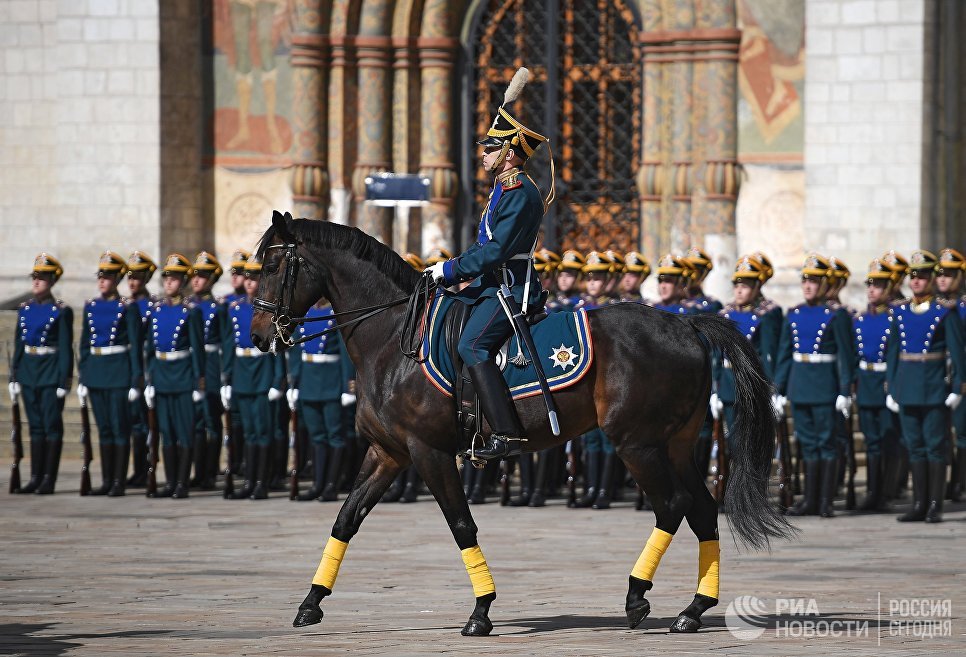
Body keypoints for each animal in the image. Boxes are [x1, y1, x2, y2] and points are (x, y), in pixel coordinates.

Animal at [253, 213, 796, 640]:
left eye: (273, 266)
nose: (260, 336)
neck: (393, 341)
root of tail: (685, 322)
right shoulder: (388, 453)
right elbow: (346, 519)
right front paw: (310, 603)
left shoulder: (429, 452)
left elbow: (460, 524)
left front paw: (481, 611)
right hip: (676, 445)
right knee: (702, 510)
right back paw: (693, 609)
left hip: (637, 444)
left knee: (673, 506)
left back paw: (637, 596)